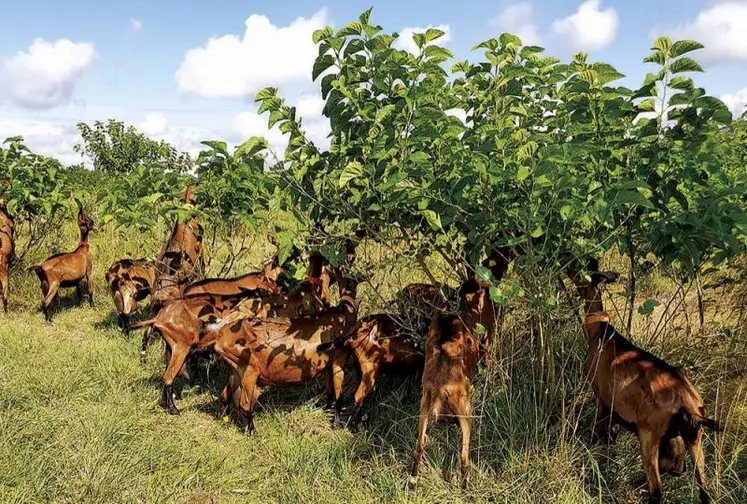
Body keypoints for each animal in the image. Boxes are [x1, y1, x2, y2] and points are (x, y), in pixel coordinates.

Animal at [213, 272, 362, 434]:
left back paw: (223, 421)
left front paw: (327, 412)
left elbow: (329, 391)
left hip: (236, 370)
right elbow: (338, 394)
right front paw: (336, 425)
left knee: (225, 396)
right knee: (245, 405)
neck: (342, 314)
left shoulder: (328, 365)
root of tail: (221, 336)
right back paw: (252, 432)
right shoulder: (338, 361)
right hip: (249, 371)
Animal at [568, 258, 720, 502]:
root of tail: (689, 404)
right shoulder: (617, 409)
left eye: (580, 270)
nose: (566, 266)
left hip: (649, 436)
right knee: (698, 485)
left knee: (658, 489)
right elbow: (612, 436)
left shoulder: (602, 398)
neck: (601, 333)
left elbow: (600, 434)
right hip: (693, 438)